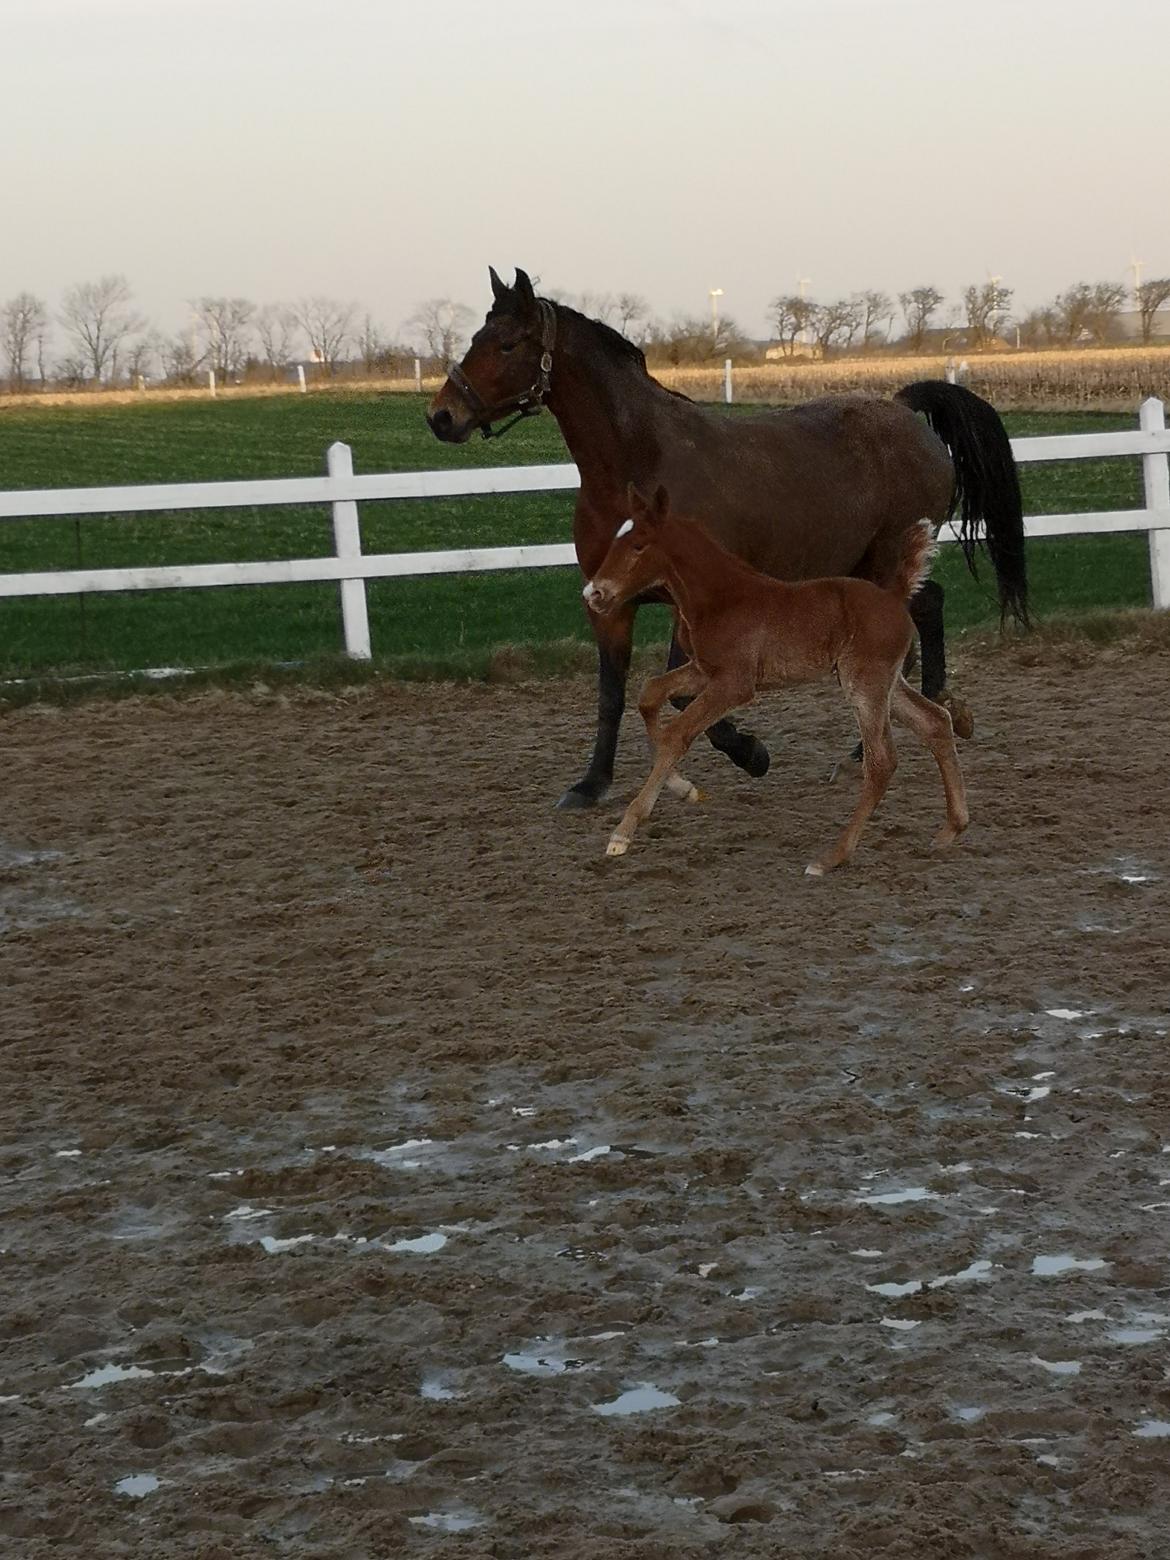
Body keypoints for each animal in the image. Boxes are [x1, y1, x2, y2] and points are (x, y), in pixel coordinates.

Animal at [427, 266, 1023, 811]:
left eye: (506, 343)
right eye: (477, 335)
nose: (441, 415)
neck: (639, 466)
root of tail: (904, 410)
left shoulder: (688, 604)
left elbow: (685, 696)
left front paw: (751, 752)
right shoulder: (610, 606)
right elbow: (611, 693)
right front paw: (591, 784)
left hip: (880, 565)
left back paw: (886, 739)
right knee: (928, 609)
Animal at [583, 483, 973, 879]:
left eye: (638, 545)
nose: (593, 593)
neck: (722, 597)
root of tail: (895, 595)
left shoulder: (735, 683)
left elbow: (677, 734)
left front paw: (623, 832)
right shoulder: (703, 670)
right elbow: (650, 695)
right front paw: (683, 788)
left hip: (865, 684)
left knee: (882, 762)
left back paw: (831, 857)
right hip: (884, 684)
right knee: (935, 722)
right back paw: (951, 829)